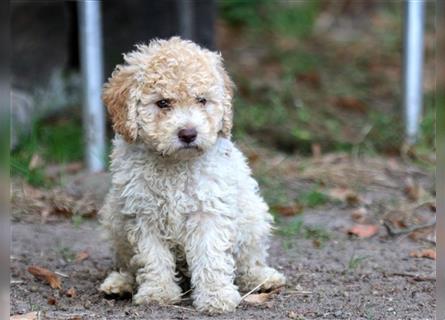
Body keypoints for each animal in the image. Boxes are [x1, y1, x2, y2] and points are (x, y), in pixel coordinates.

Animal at [98, 37, 284, 312]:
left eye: (202, 100)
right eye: (163, 103)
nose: (188, 133)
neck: (175, 164)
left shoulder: (208, 210)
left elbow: (210, 256)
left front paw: (216, 296)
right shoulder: (143, 213)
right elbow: (152, 257)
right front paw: (158, 292)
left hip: (253, 216)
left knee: (249, 259)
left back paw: (262, 277)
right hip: (114, 219)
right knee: (128, 263)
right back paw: (120, 283)